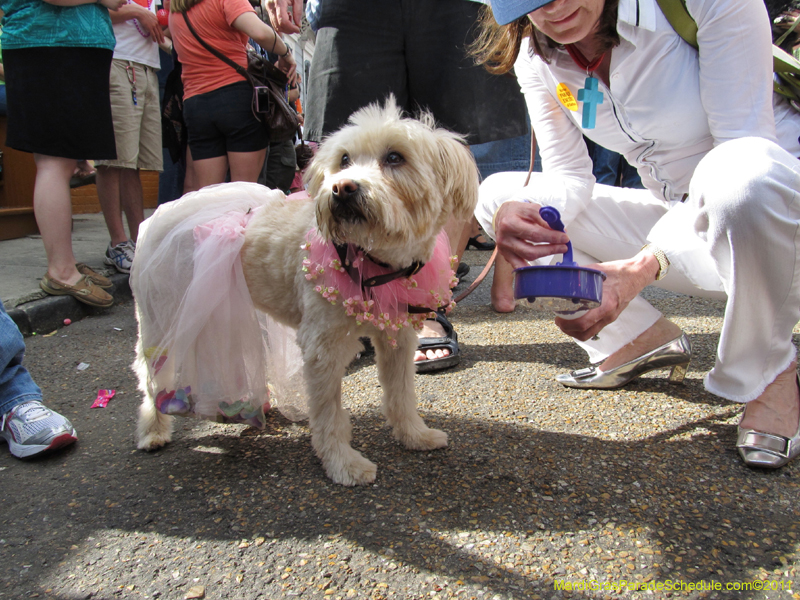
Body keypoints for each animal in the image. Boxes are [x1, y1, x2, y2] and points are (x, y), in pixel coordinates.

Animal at [134, 97, 478, 482]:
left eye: (394, 157)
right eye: (344, 159)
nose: (342, 188)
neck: (372, 259)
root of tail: (165, 210)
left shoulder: (398, 337)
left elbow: (401, 392)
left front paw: (414, 435)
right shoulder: (322, 348)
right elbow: (329, 413)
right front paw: (342, 463)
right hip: (161, 318)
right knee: (149, 378)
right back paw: (153, 430)